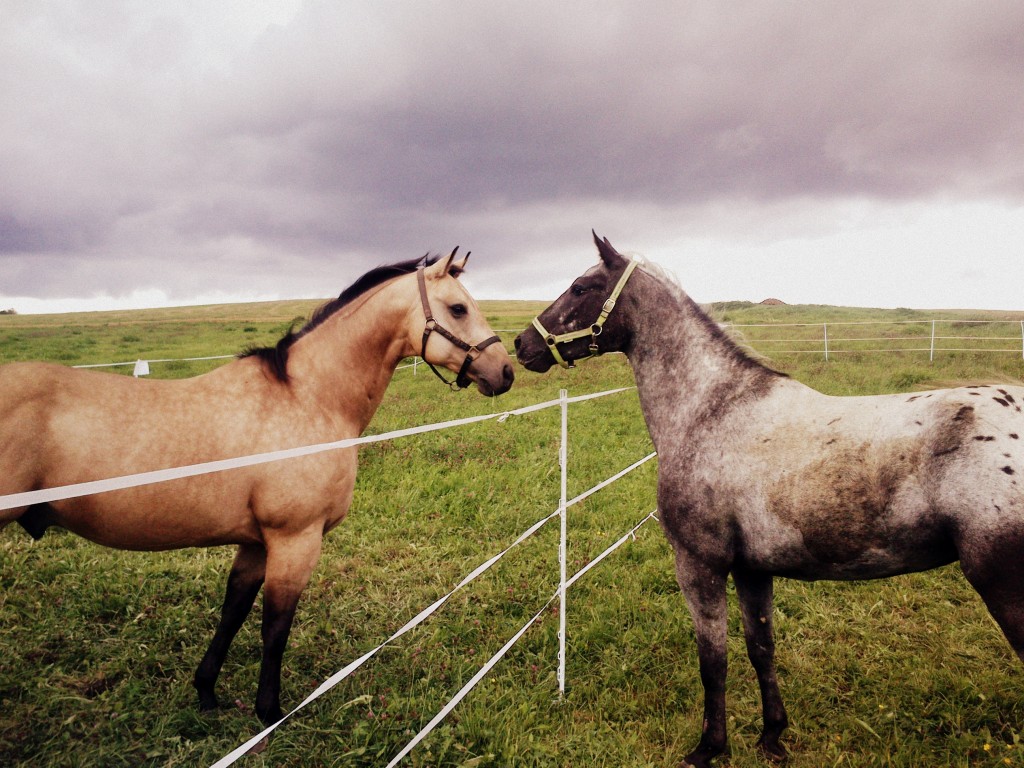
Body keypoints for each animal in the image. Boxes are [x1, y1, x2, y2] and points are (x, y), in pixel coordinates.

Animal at [0, 249, 512, 724]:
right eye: (458, 308)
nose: (504, 371)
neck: (308, 397)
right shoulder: (294, 541)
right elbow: (275, 628)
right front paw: (270, 712)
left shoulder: (255, 544)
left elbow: (233, 612)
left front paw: (207, 691)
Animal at [516, 233, 1024, 768]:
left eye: (581, 286)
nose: (522, 344)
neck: (712, 410)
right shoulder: (752, 569)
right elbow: (761, 647)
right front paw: (772, 736)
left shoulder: (699, 565)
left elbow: (713, 661)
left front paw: (709, 747)